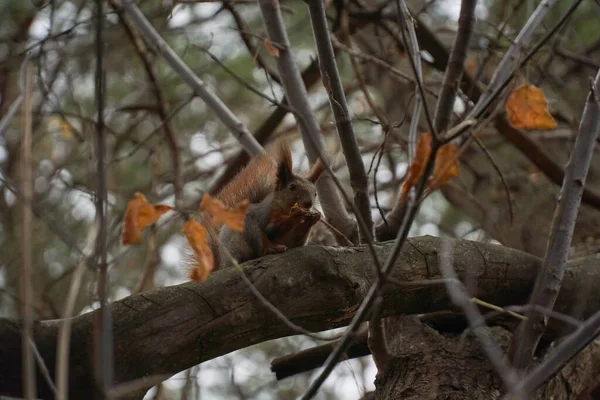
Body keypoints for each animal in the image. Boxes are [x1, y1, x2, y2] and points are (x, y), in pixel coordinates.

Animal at [200, 139, 324, 270]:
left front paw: (314, 217)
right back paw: (271, 249)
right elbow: (271, 229)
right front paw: (295, 214)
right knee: (258, 251)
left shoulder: (295, 239)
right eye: (292, 187)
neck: (284, 208)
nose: (308, 203)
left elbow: (298, 240)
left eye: (315, 193)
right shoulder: (266, 213)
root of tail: (224, 264)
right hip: (247, 233)